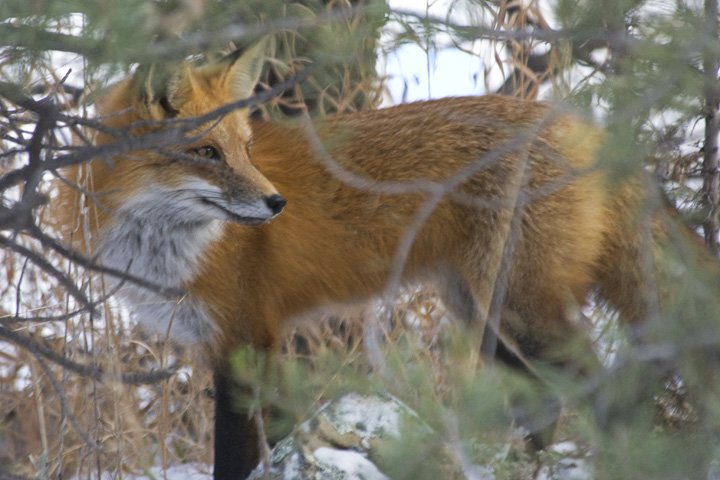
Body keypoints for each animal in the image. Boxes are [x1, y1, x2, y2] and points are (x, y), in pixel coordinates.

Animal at [58, 40, 719, 479]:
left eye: (243, 150)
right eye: (206, 152)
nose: (276, 203)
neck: (165, 243)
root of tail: (585, 126)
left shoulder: (247, 338)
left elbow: (237, 457)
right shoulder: (242, 342)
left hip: (525, 313)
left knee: (609, 394)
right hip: (482, 311)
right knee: (544, 403)